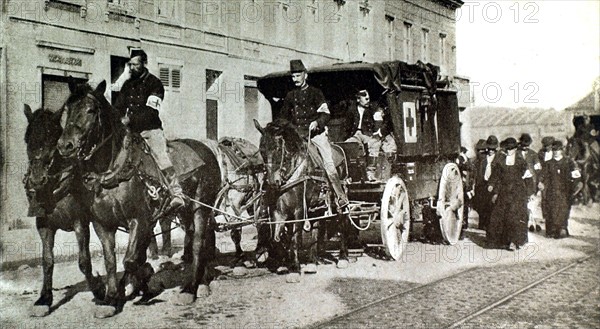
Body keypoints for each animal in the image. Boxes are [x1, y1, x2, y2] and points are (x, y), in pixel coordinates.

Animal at [22, 104, 103, 316]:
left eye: (52, 138)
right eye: (28, 139)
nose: (36, 179)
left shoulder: (80, 223)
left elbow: (84, 261)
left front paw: (98, 290)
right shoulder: (44, 226)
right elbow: (47, 260)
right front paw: (44, 299)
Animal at [55, 79, 220, 316]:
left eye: (90, 110)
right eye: (67, 110)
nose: (65, 145)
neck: (114, 170)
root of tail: (207, 149)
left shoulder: (139, 220)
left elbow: (131, 260)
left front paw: (143, 284)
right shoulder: (102, 224)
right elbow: (112, 261)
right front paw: (112, 298)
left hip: (201, 208)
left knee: (198, 242)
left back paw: (190, 289)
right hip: (185, 211)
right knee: (199, 239)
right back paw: (203, 282)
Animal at [254, 118, 352, 280]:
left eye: (278, 149)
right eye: (262, 150)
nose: (273, 182)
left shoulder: (298, 210)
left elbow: (294, 239)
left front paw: (294, 269)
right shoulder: (277, 211)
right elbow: (277, 238)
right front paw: (283, 264)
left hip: (339, 200)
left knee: (342, 223)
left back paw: (343, 258)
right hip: (316, 207)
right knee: (316, 229)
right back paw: (312, 261)